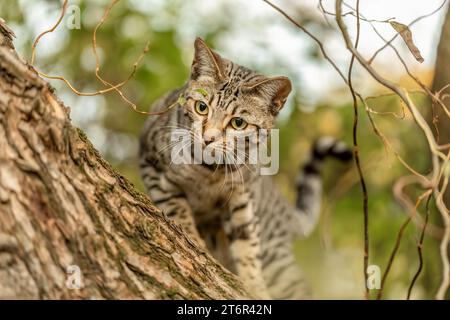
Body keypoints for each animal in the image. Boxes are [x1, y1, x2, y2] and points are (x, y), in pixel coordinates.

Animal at [138, 38, 352, 300]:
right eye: (201, 107)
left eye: (238, 123)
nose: (208, 138)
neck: (207, 171)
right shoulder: (152, 165)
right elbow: (178, 209)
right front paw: (194, 238)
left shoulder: (242, 197)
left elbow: (247, 245)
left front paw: (254, 285)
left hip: (277, 263)